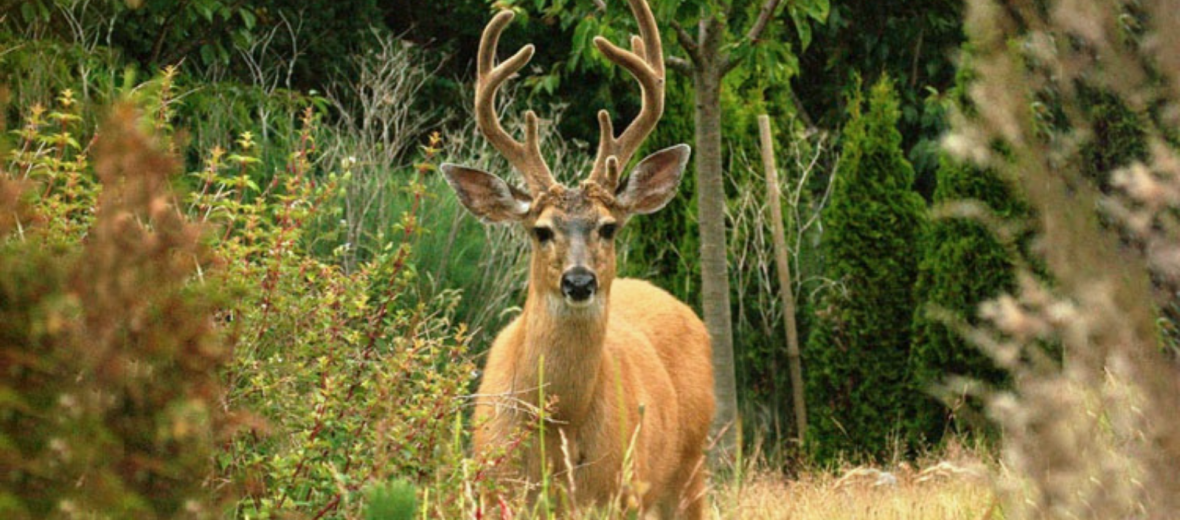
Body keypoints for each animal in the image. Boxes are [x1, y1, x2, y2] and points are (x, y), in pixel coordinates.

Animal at [441, 0, 712, 514]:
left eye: (608, 227)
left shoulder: (618, 494)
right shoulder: (494, 488)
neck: (558, 426)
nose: (580, 282)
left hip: (690, 469)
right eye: (541, 230)